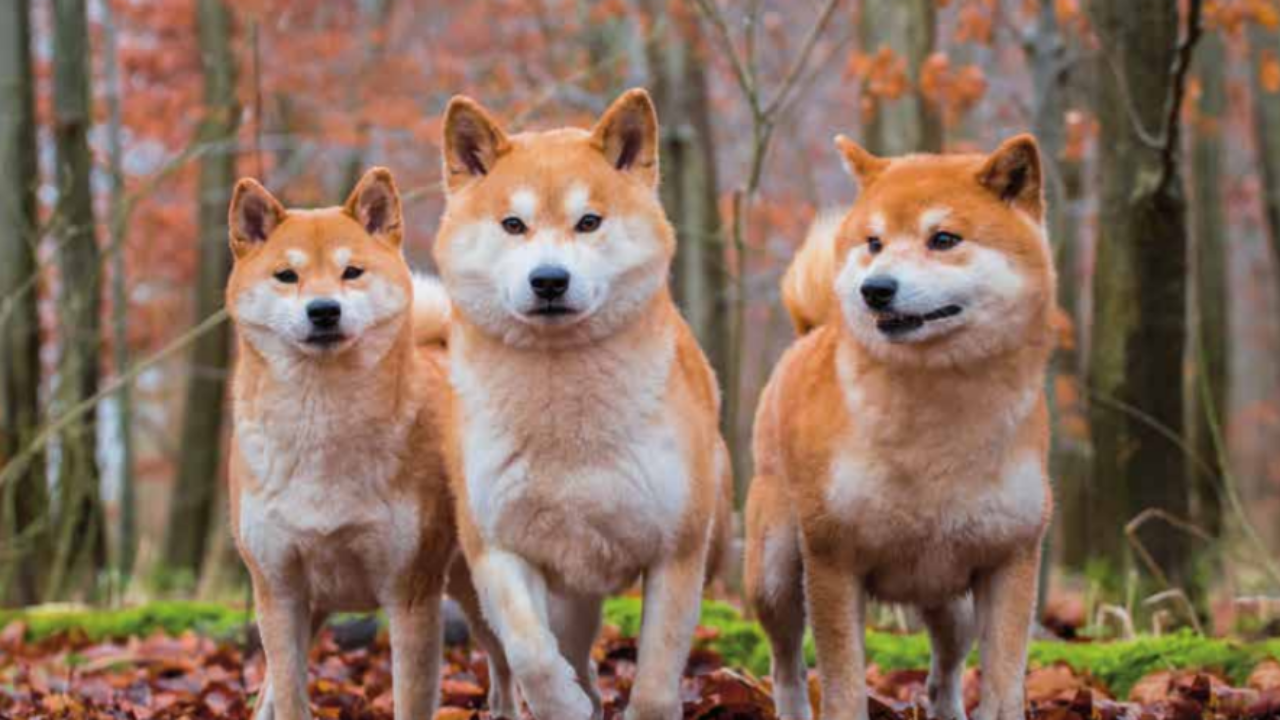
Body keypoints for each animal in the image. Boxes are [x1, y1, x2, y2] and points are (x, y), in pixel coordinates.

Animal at [227, 166, 512, 717]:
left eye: (352, 272)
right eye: (287, 276)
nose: (324, 310)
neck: (322, 428)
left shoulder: (411, 595)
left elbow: (410, 699)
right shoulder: (278, 590)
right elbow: (289, 698)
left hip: (483, 594)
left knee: (514, 676)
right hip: (314, 609)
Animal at [430, 89, 732, 717]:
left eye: (588, 222)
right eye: (513, 225)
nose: (549, 279)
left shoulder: (676, 554)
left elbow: (656, 682)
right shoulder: (498, 548)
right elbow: (533, 658)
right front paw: (564, 705)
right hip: (527, 593)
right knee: (543, 659)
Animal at [747, 135, 1054, 717]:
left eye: (944, 239)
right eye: (874, 242)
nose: (876, 288)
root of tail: (810, 331)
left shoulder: (1011, 559)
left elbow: (1003, 687)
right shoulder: (832, 561)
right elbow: (843, 689)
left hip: (950, 601)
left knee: (943, 675)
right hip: (773, 574)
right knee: (786, 667)